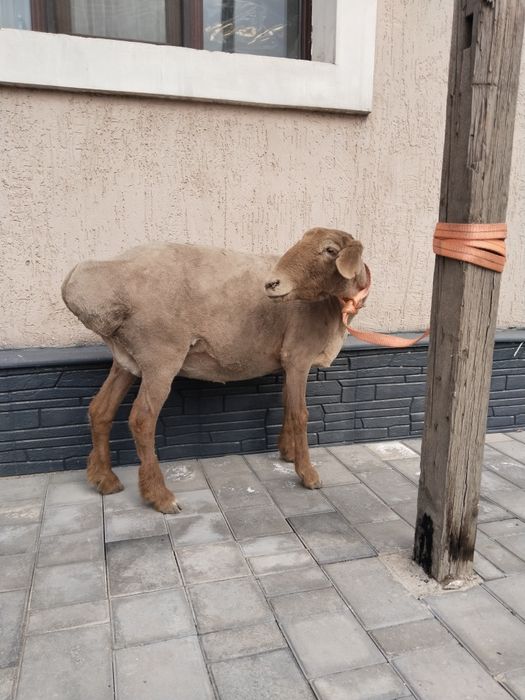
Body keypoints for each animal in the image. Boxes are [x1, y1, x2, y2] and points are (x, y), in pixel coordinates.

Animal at [62, 227, 367, 513]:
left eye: (330, 250)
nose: (272, 283)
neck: (331, 306)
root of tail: (93, 277)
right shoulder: (298, 356)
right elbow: (300, 414)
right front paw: (308, 474)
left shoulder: (288, 362)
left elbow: (286, 404)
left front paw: (287, 453)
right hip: (160, 353)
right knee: (141, 419)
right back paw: (161, 497)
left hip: (127, 358)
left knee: (100, 409)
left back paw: (104, 479)